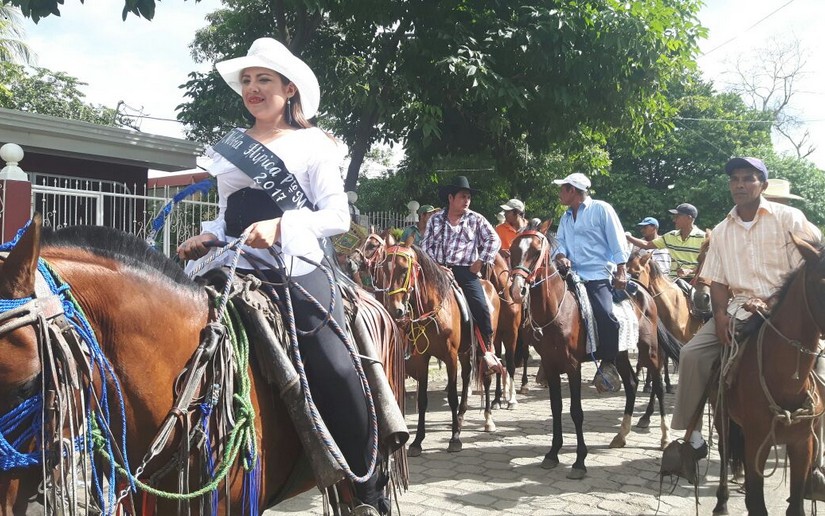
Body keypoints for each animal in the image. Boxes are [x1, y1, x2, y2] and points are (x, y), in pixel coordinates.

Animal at [377, 244, 500, 456]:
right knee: (466, 377)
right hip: (465, 352)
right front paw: (417, 441)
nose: (395, 310)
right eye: (384, 269)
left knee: (486, 378)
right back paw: (460, 417)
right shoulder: (422, 357)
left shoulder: (450, 355)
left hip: (483, 348)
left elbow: (451, 396)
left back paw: (487, 419)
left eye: (404, 269)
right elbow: (422, 399)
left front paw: (455, 439)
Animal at [507, 230, 680, 479]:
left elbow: (576, 411)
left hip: (651, 351)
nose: (516, 289)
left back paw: (664, 436)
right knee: (631, 383)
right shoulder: (550, 365)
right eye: (512, 249)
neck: (558, 309)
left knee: (657, 386)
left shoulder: (573, 366)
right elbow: (556, 408)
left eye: (536, 251)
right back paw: (621, 435)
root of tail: (643, 290)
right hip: (621, 353)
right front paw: (552, 453)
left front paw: (580, 461)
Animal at [712, 235, 825, 516]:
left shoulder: (802, 444)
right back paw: (722, 502)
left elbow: (796, 505)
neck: (785, 382)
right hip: (722, 418)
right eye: (822, 283)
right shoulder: (756, 445)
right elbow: (756, 504)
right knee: (724, 451)